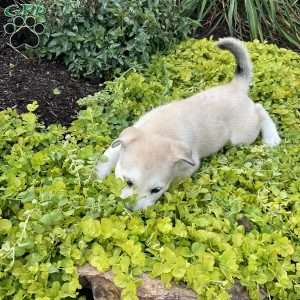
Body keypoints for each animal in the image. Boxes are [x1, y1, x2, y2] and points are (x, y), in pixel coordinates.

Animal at [96, 37, 282, 210]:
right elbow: (108, 157)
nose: (130, 209)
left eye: (156, 190)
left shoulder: (189, 164)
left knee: (260, 109)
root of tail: (236, 87)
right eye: (128, 182)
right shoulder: (125, 139)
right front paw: (97, 176)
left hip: (242, 137)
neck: (160, 132)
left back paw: (271, 138)